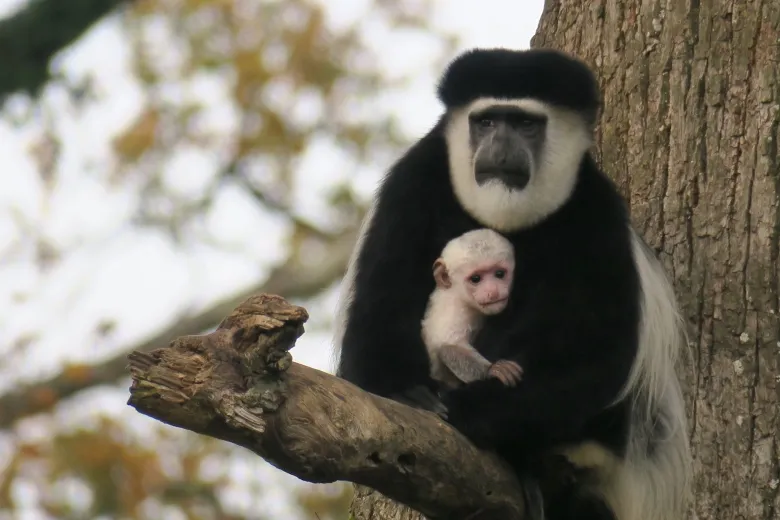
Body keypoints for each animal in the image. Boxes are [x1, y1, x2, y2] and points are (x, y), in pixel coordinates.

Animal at [420, 228, 524, 390]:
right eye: (476, 279)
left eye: (499, 274)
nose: (493, 292)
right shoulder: (454, 311)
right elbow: (447, 345)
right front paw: (492, 370)